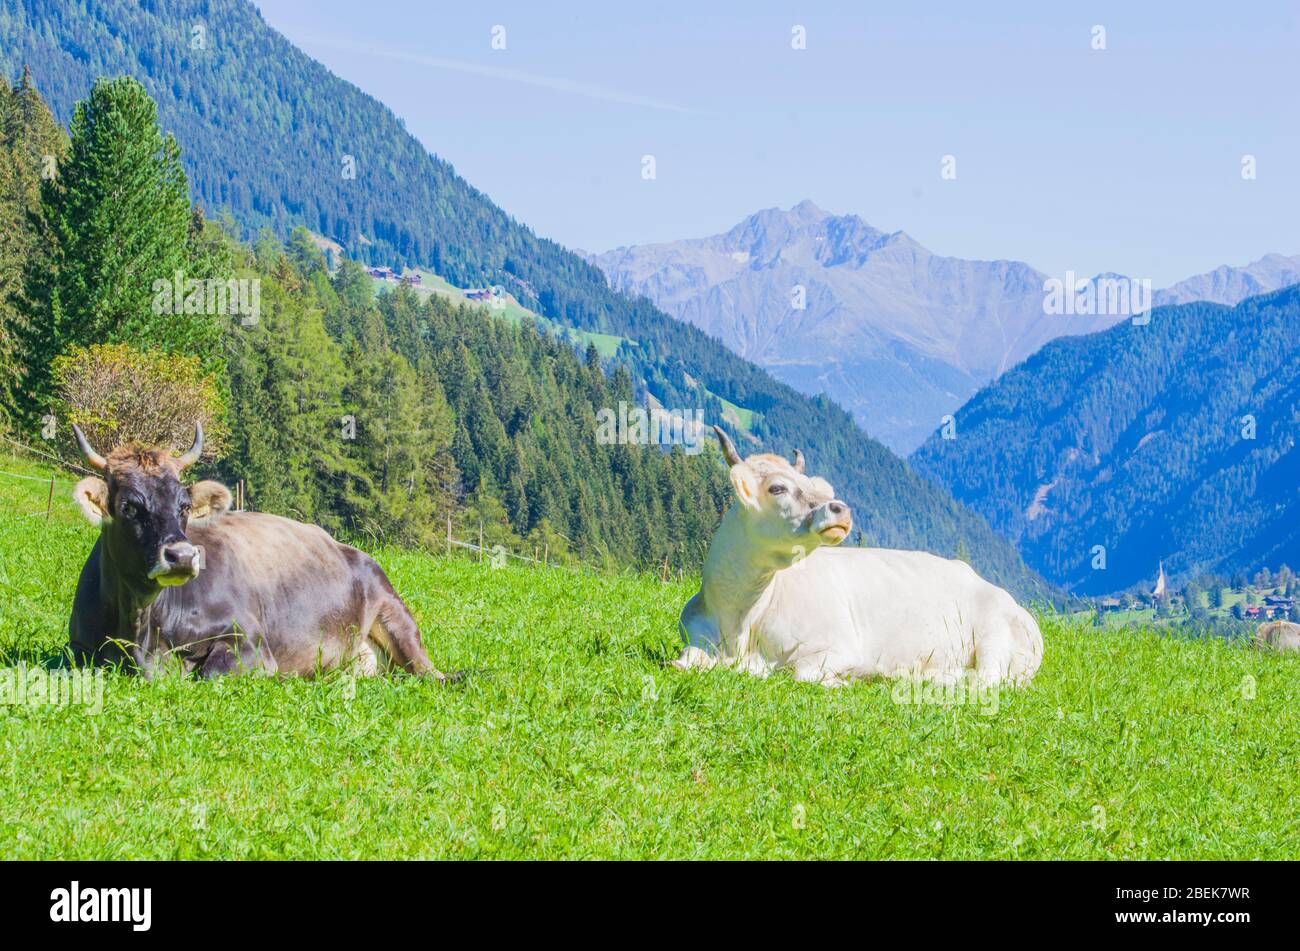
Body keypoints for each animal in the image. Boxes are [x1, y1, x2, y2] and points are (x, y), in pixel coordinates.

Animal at [67, 423, 443, 680]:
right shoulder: (80, 652)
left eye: (184, 505)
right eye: (129, 506)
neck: (141, 630)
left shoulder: (250, 641)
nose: (182, 557)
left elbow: (211, 672)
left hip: (395, 617)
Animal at [673, 427, 1044, 686]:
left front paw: (844, 680)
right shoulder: (694, 639)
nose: (840, 508)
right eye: (777, 488)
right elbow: (682, 663)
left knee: (986, 679)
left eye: (814, 486)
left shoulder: (838, 647)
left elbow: (798, 673)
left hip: (994, 635)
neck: (739, 620)